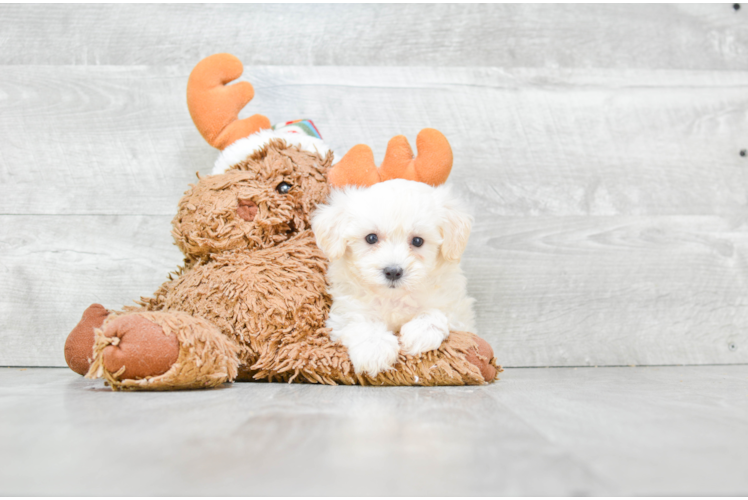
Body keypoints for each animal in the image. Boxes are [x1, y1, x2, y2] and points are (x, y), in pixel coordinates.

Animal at [312, 180, 476, 376]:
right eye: (371, 238)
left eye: (418, 241)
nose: (392, 271)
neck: (394, 297)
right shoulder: (345, 311)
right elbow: (359, 322)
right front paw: (374, 349)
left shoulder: (458, 311)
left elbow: (439, 311)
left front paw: (422, 331)